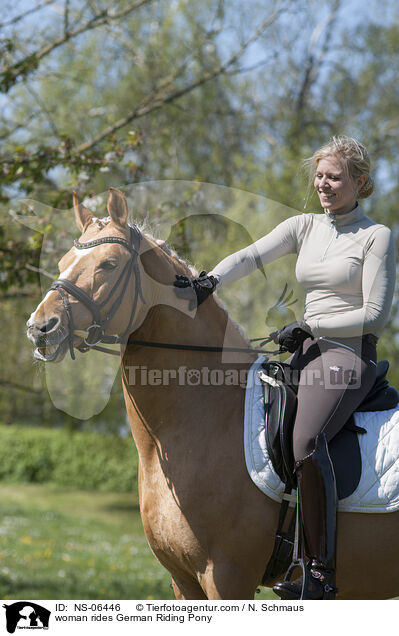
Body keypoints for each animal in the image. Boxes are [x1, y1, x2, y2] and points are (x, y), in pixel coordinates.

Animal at [27, 186, 399, 600]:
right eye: (63, 261)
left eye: (108, 264)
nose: (41, 327)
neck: (205, 417)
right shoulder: (183, 579)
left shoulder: (226, 577)